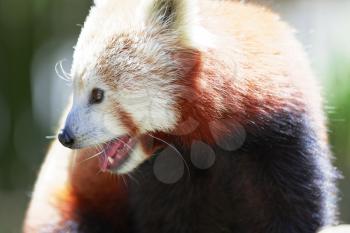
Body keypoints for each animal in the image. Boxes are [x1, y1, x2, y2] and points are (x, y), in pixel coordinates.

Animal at [23, 0, 338, 233]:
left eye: (97, 94)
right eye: (75, 91)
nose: (65, 136)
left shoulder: (280, 134)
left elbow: (292, 207)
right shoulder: (163, 175)